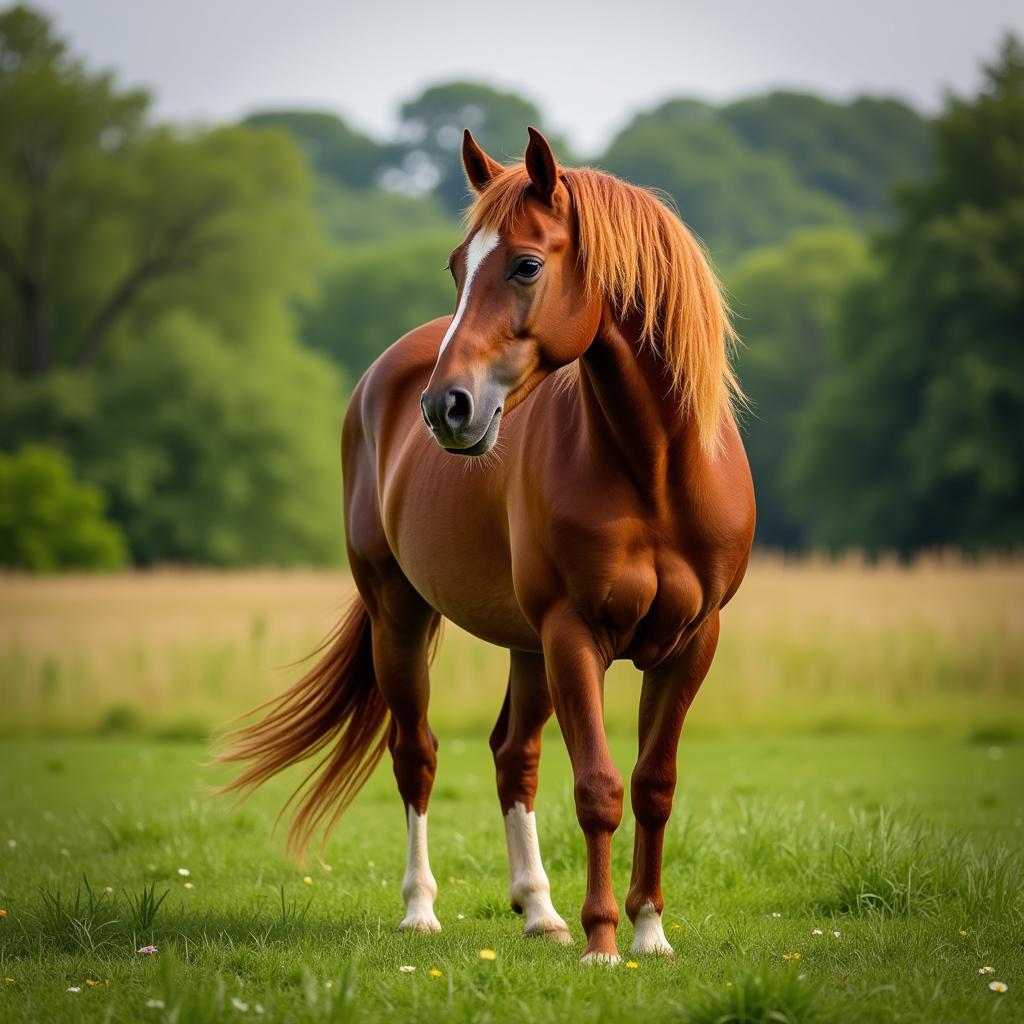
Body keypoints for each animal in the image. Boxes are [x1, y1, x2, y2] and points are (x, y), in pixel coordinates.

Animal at [222, 125, 753, 958]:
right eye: (455, 266)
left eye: (527, 264)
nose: (448, 407)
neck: (658, 470)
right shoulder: (575, 635)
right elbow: (598, 787)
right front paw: (604, 942)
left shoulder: (691, 642)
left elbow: (652, 785)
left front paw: (648, 931)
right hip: (403, 619)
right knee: (417, 754)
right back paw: (421, 909)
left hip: (527, 647)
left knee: (514, 757)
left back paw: (539, 910)